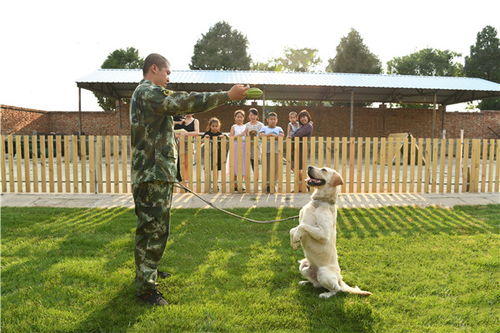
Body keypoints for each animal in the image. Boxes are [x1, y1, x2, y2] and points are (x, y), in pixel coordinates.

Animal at [290, 165, 372, 296]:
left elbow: (303, 226)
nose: (309, 166)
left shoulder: (324, 234)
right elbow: (293, 229)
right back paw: (305, 282)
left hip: (324, 274)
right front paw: (294, 242)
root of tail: (340, 279)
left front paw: (297, 238)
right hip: (303, 266)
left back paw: (325, 295)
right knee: (317, 284)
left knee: (336, 290)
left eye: (323, 169)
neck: (318, 202)